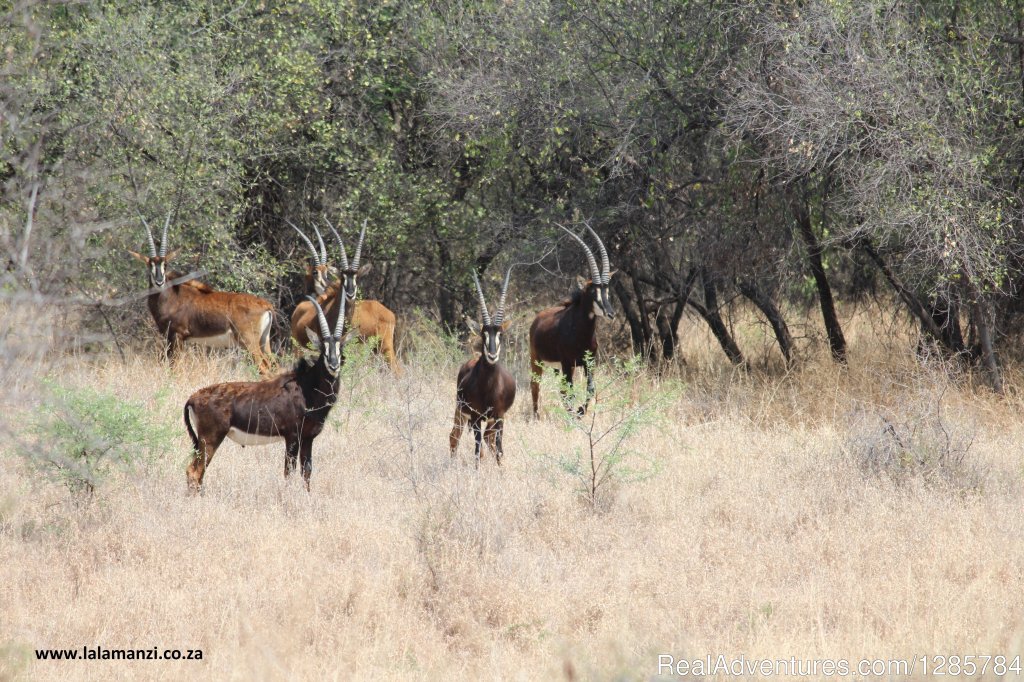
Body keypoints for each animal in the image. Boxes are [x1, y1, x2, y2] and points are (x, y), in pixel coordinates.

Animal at [130, 212, 278, 374]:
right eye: (149, 265)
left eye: (165, 264)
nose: (159, 282)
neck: (171, 297)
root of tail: (266, 305)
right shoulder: (170, 338)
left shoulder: (177, 336)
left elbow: (175, 367)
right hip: (264, 342)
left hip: (249, 342)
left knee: (264, 367)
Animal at [186, 292, 354, 489]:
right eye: (322, 347)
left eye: (341, 346)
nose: (334, 365)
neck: (306, 387)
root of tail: (192, 398)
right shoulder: (292, 437)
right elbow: (289, 473)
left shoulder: (307, 438)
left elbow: (307, 473)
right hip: (210, 438)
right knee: (194, 472)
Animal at [448, 268, 516, 464]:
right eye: (483, 334)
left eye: (500, 334)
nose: (492, 356)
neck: (489, 387)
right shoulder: (476, 417)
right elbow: (477, 451)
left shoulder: (499, 416)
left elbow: (499, 449)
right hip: (461, 411)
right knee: (454, 436)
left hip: (491, 420)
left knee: (489, 440)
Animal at [528, 223, 614, 413]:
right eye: (592, 292)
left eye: (607, 291)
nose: (611, 314)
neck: (581, 333)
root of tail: (537, 319)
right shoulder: (568, 363)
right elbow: (570, 393)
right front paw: (577, 413)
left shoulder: (589, 363)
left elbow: (590, 389)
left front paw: (580, 411)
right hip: (537, 361)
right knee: (535, 386)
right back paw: (536, 415)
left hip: (560, 367)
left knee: (560, 390)